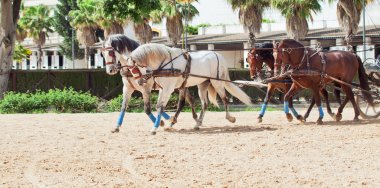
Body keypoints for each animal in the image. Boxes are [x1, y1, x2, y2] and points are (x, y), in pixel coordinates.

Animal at [124, 43, 252, 134]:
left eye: (134, 68)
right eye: (130, 69)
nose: (140, 82)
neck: (166, 62)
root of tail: (218, 55)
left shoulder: (168, 88)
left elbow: (160, 107)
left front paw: (155, 128)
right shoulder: (163, 88)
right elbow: (160, 106)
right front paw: (167, 122)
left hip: (217, 82)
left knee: (225, 99)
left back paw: (230, 118)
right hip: (203, 84)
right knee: (205, 103)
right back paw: (198, 124)